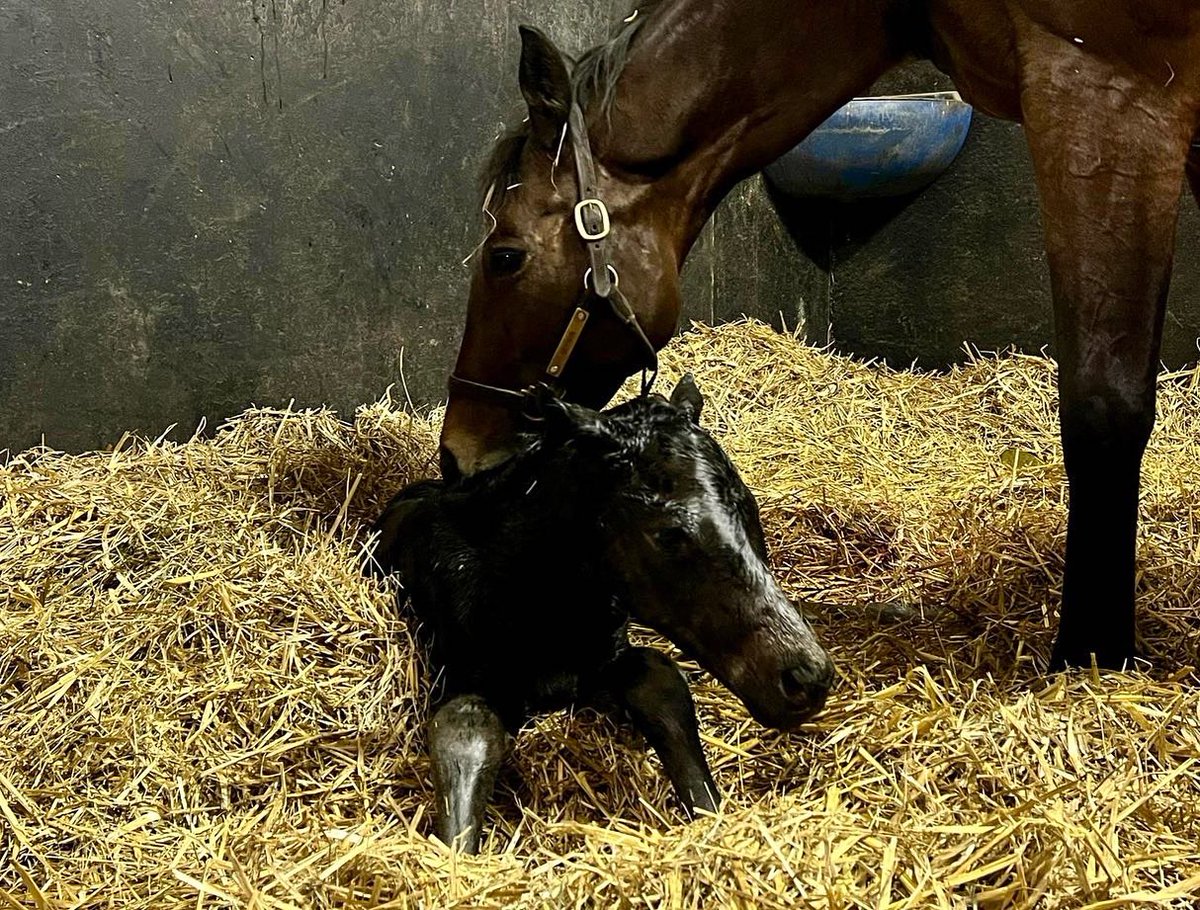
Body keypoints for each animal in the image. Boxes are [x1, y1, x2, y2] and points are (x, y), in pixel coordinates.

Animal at [371, 376, 832, 852]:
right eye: (668, 534)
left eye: (750, 507)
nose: (805, 678)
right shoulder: (463, 673)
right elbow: (466, 733)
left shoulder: (609, 655)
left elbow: (661, 682)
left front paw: (711, 820)